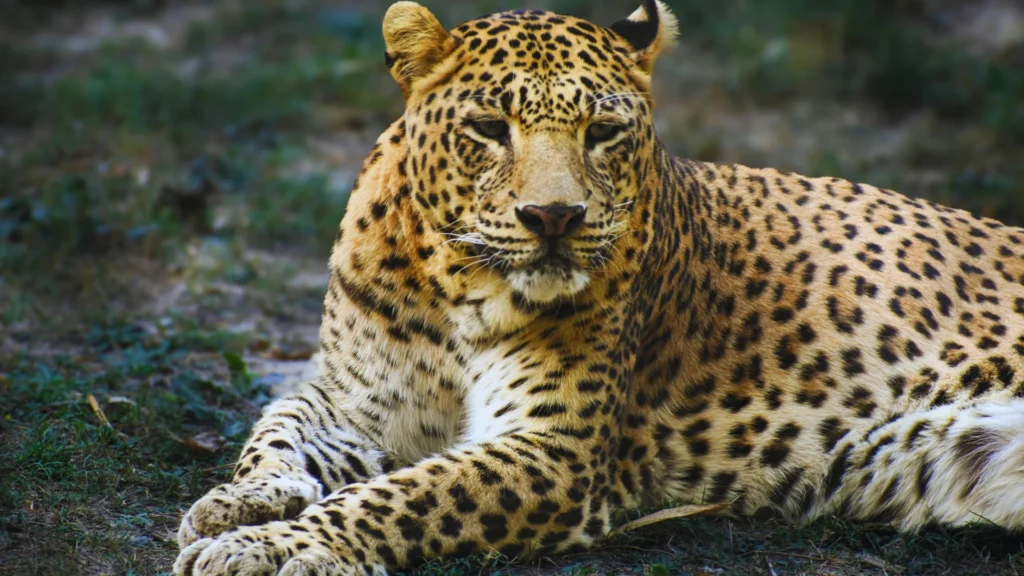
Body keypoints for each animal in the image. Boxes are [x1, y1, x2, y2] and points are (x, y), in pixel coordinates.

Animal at [174, 2, 1024, 574]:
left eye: (603, 132)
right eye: (489, 128)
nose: (553, 216)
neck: (451, 288)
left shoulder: (558, 450)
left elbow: (401, 498)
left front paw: (271, 545)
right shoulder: (353, 400)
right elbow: (277, 426)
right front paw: (239, 503)